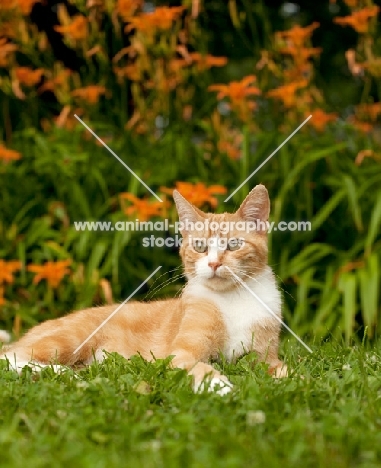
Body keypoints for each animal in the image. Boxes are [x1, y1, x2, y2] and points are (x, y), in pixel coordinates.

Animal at [0, 185, 284, 394]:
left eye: (234, 245)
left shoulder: (266, 357)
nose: (214, 263)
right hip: (70, 338)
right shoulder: (180, 354)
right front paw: (218, 385)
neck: (233, 297)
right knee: (10, 355)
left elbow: (284, 370)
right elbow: (197, 366)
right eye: (200, 247)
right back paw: (57, 371)